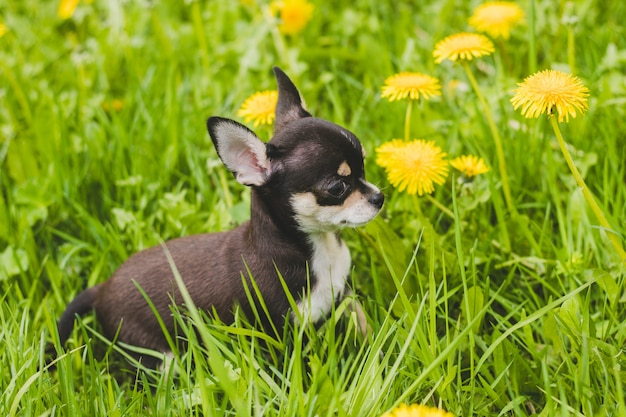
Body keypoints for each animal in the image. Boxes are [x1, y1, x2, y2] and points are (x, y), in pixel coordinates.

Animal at [56, 66, 382, 362]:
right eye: (338, 187)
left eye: (364, 166)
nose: (379, 198)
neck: (316, 248)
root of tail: (101, 289)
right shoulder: (283, 335)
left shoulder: (344, 292)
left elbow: (363, 322)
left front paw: (376, 355)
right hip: (158, 355)